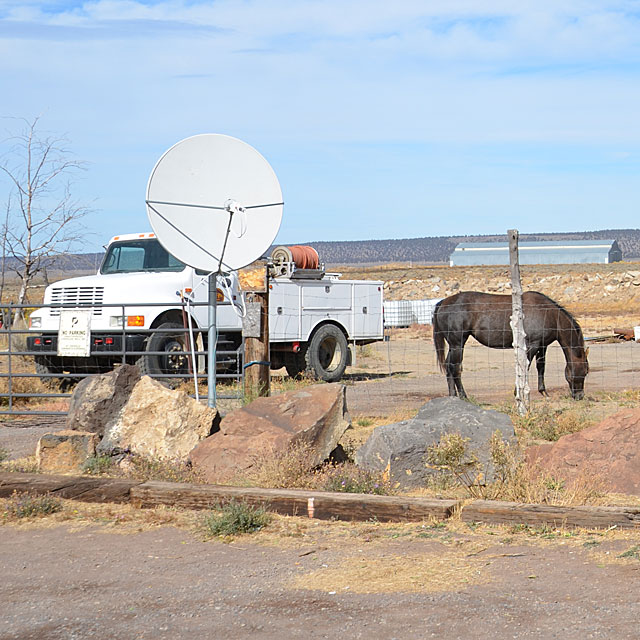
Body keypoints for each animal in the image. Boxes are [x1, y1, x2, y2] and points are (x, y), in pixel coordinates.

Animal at [430, 292, 592, 400]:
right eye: (585, 371)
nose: (580, 396)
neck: (549, 314)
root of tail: (442, 303)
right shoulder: (531, 345)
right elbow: (524, 367)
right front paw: (518, 392)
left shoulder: (542, 346)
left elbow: (541, 367)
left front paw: (543, 392)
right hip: (458, 344)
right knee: (455, 368)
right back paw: (463, 396)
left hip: (453, 345)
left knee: (449, 367)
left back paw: (453, 396)